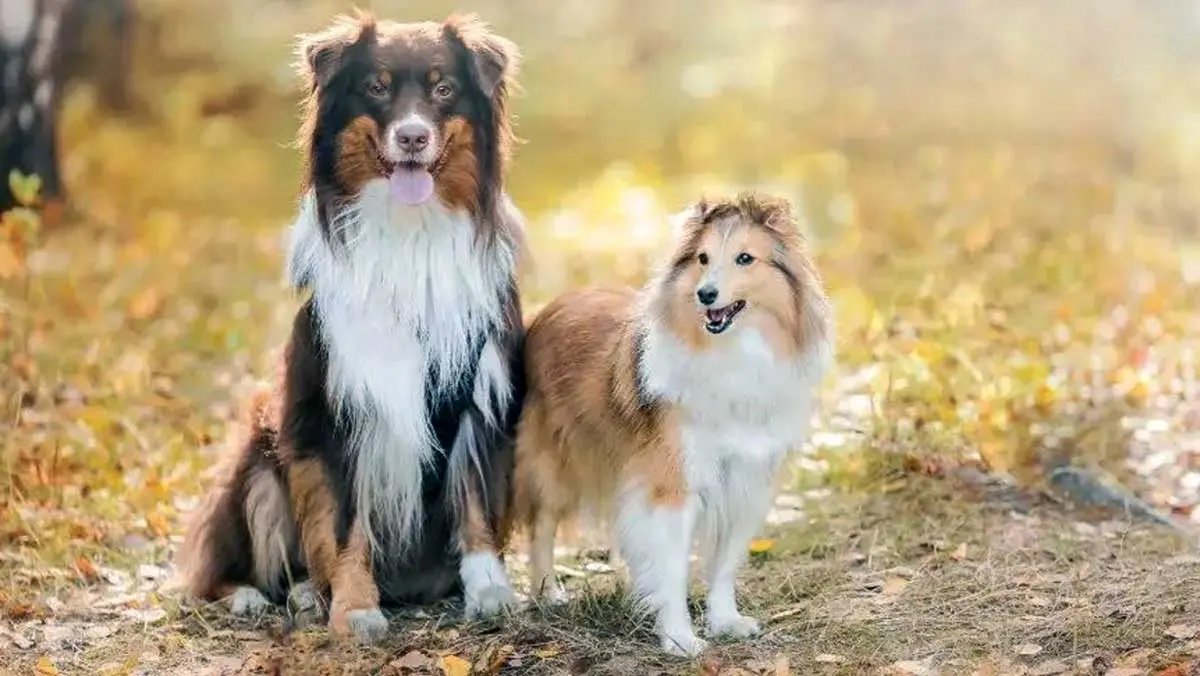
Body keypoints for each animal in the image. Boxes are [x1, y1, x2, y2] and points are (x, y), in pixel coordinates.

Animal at [175, 13, 523, 643]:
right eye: (377, 88)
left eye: (443, 89)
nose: (412, 137)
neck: (410, 234)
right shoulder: (333, 410)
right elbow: (342, 525)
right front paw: (355, 607)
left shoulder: (481, 397)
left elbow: (475, 504)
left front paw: (490, 590)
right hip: (258, 453)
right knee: (225, 562)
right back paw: (264, 596)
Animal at [516, 194, 835, 657]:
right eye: (702, 259)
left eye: (745, 258)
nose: (706, 294)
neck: (732, 352)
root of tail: (549, 307)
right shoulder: (673, 487)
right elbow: (673, 568)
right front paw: (680, 638)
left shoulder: (745, 483)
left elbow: (724, 564)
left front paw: (724, 621)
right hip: (556, 462)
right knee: (541, 525)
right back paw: (547, 593)